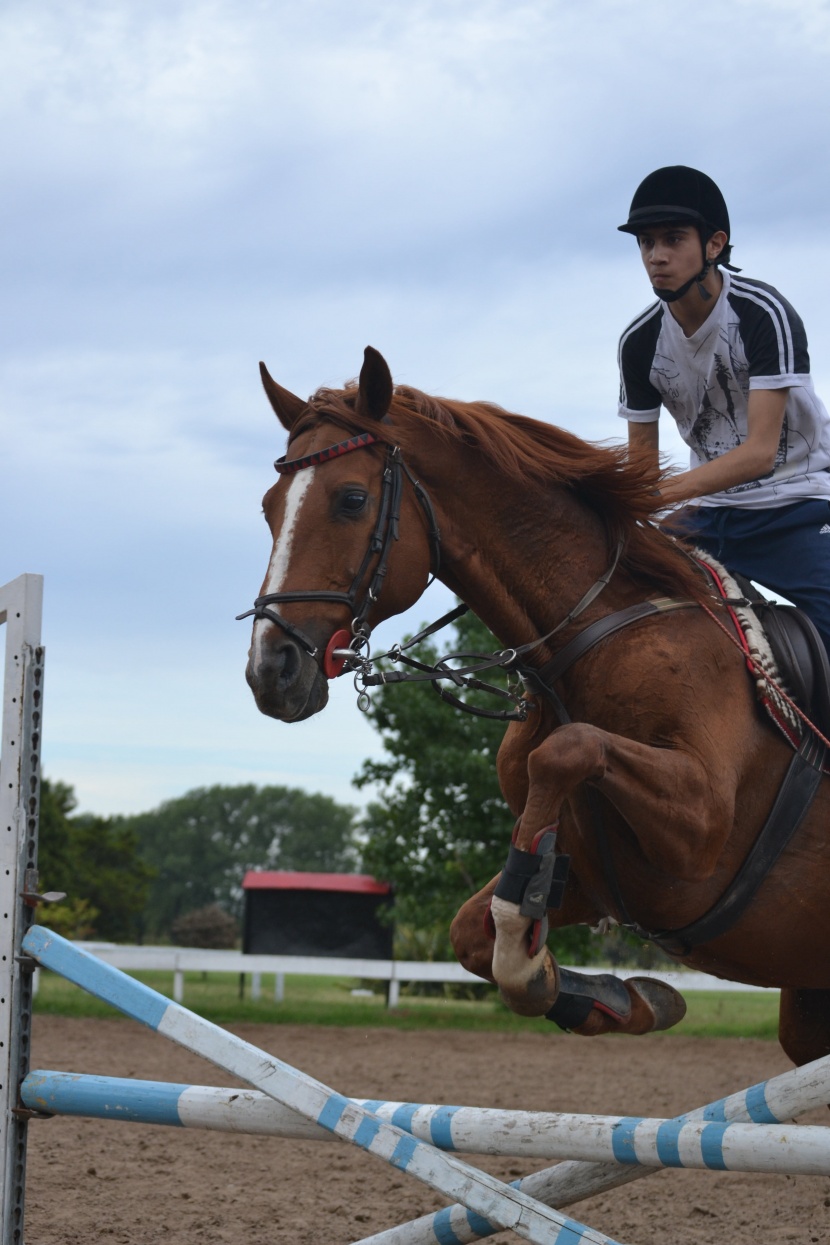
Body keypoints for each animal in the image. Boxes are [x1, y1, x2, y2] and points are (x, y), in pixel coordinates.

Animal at [240, 346, 830, 1065]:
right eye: (269, 508)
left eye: (351, 500)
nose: (271, 670)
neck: (580, 646)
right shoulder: (595, 874)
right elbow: (474, 933)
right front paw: (615, 994)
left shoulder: (703, 826)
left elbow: (567, 749)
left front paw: (530, 949)